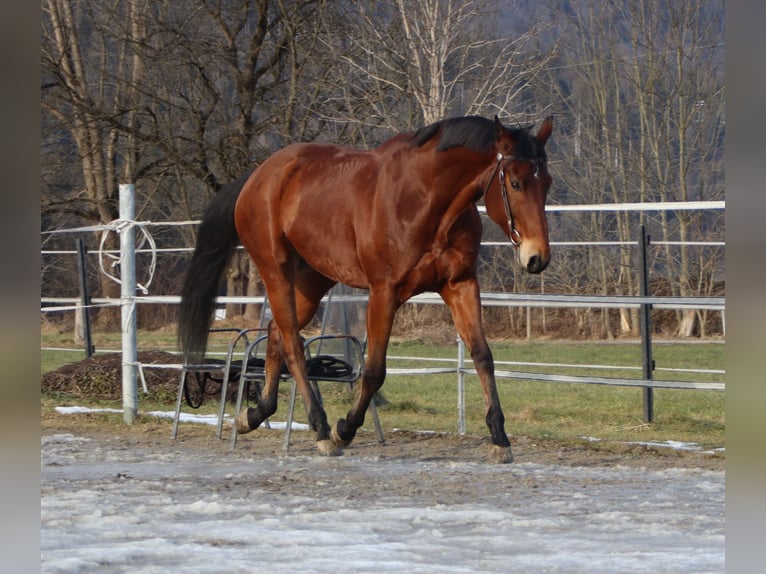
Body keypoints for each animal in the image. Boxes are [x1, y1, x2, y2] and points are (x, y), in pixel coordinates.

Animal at [180, 116, 552, 464]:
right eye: (516, 183)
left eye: (546, 182)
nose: (537, 258)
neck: (425, 199)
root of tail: (259, 176)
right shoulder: (383, 292)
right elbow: (374, 370)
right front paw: (344, 429)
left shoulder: (460, 285)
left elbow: (482, 356)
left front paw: (500, 439)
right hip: (276, 270)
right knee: (292, 344)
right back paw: (320, 429)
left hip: (312, 281)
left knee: (276, 333)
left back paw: (257, 413)